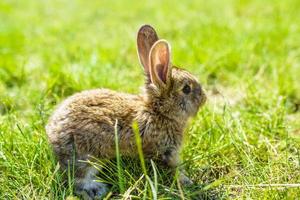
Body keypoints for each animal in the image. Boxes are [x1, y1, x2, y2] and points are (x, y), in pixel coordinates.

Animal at [46, 24, 206, 198]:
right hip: (87, 155)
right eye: (186, 89)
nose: (204, 98)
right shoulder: (165, 152)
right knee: (77, 179)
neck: (158, 112)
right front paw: (186, 181)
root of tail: (52, 133)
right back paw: (96, 189)